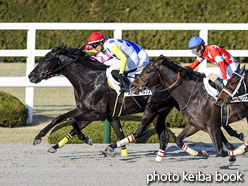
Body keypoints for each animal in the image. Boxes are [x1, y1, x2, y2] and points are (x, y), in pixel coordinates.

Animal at [28, 45, 177, 157]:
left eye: (48, 59)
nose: (31, 76)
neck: (90, 81)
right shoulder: (87, 110)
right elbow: (60, 119)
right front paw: (42, 139)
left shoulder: (99, 114)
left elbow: (74, 121)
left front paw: (87, 139)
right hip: (158, 113)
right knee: (163, 136)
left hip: (154, 109)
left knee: (144, 131)